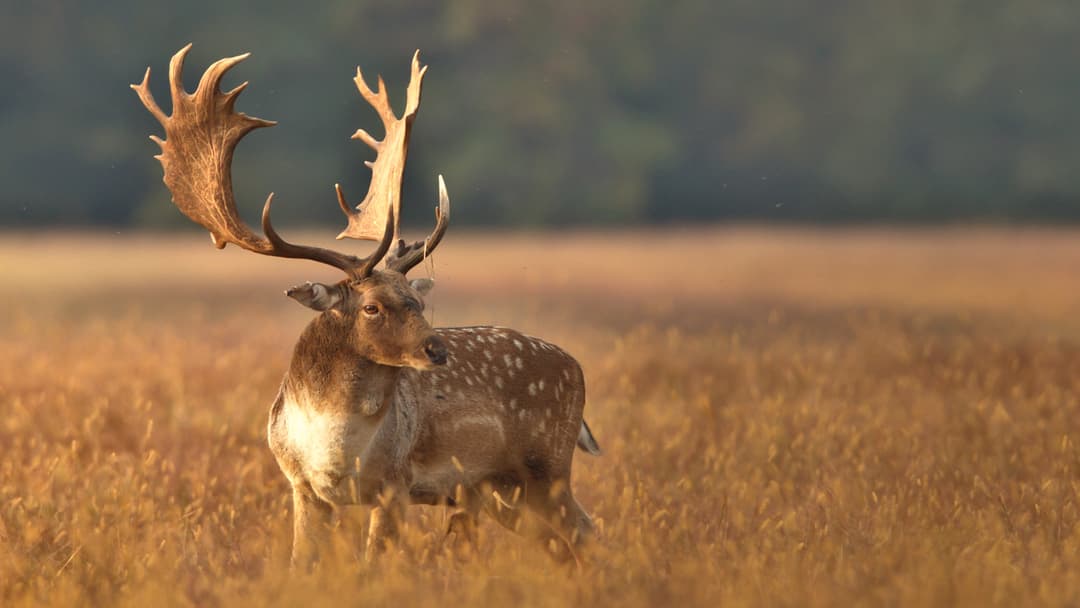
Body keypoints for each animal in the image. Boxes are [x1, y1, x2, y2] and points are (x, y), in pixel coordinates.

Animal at [131, 44, 604, 570]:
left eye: (418, 300)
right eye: (372, 307)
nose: (437, 350)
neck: (335, 451)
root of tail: (576, 367)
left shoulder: (394, 485)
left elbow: (374, 565)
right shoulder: (300, 485)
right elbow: (303, 564)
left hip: (547, 464)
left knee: (586, 530)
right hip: (500, 489)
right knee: (566, 540)